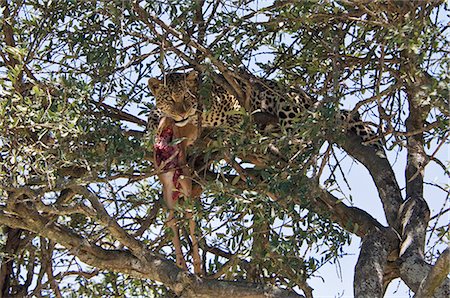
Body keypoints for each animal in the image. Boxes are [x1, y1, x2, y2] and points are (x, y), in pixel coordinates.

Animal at [148, 70, 384, 151]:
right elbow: (153, 114)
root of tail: (311, 98)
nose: (182, 114)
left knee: (298, 137)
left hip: (288, 104)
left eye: (187, 97)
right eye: (169, 99)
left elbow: (234, 120)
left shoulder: (234, 101)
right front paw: (152, 129)